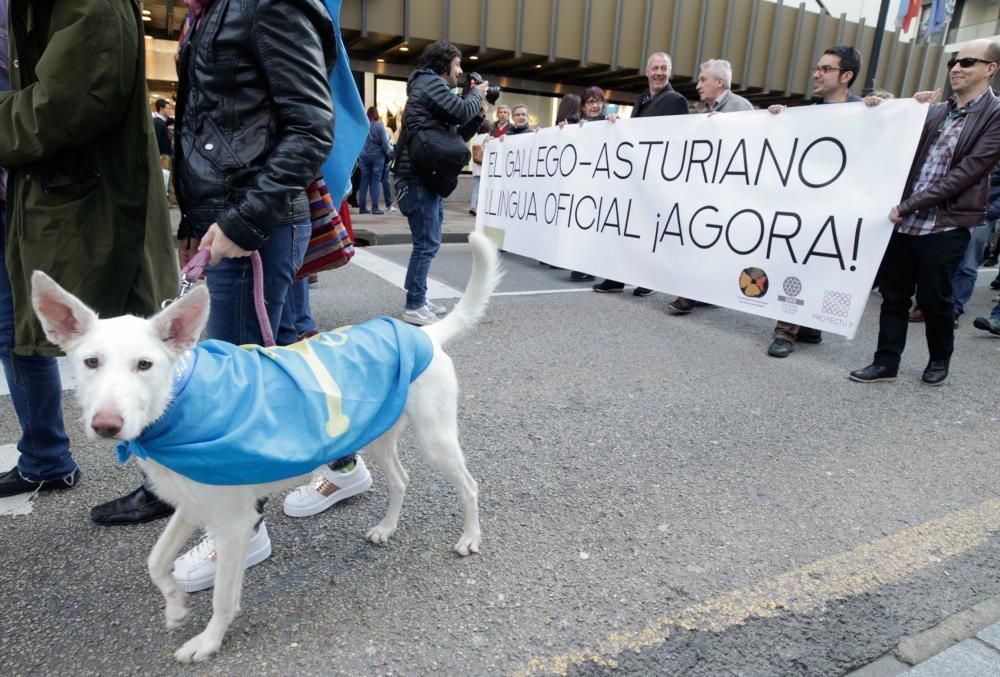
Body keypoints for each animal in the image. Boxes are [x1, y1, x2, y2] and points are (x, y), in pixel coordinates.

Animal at [33, 231, 500, 660]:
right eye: (91, 362)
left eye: (144, 364)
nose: (106, 426)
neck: (178, 402)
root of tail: (426, 336)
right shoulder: (192, 501)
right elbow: (155, 559)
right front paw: (175, 606)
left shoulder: (233, 523)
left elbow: (223, 597)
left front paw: (208, 641)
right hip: (380, 435)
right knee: (401, 480)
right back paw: (386, 528)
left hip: (436, 439)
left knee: (470, 486)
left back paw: (469, 538)